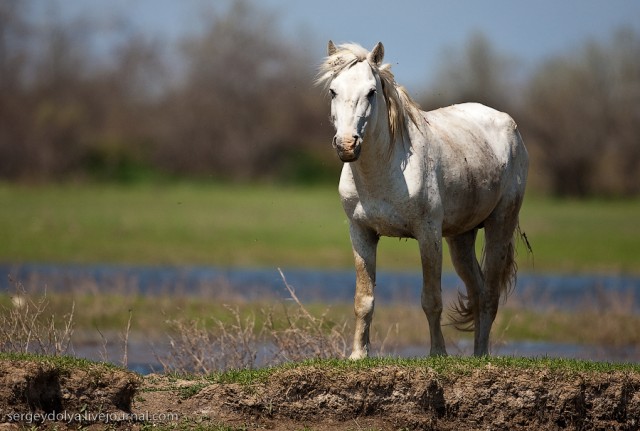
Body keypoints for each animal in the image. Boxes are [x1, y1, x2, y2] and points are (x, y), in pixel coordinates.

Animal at [318, 41, 528, 358]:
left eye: (371, 92)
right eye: (333, 91)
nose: (346, 145)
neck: (385, 170)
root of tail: (510, 125)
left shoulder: (428, 234)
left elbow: (431, 299)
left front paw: (438, 353)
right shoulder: (361, 233)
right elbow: (364, 300)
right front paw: (357, 355)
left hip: (499, 225)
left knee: (490, 295)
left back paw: (481, 355)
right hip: (461, 238)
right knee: (478, 292)